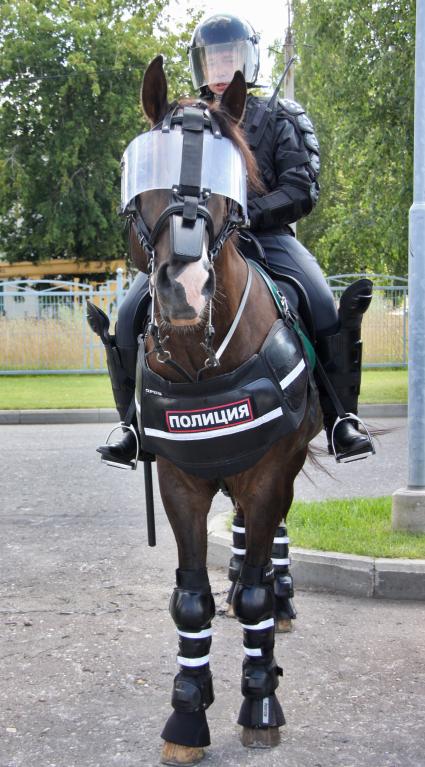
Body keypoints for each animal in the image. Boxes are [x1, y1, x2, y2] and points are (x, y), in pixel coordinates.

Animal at [117, 57, 320, 764]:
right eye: (148, 173)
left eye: (226, 176)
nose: (185, 290)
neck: (201, 359)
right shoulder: (182, 480)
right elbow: (190, 602)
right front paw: (186, 713)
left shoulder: (268, 472)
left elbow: (257, 584)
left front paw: (260, 703)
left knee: (270, 549)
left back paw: (279, 607)